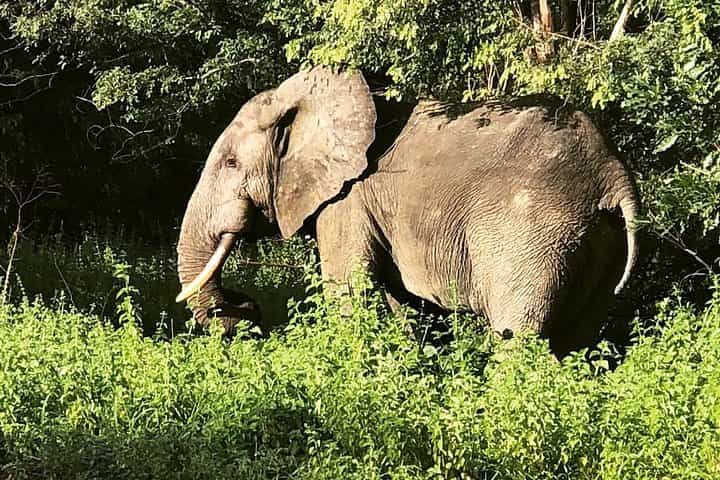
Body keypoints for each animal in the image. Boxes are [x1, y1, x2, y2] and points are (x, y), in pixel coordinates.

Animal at [175, 66, 639, 356]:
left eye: (230, 163)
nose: (247, 306)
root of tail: (612, 173)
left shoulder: (347, 200)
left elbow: (348, 292)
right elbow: (402, 305)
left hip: (532, 235)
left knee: (518, 336)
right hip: (598, 240)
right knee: (577, 338)